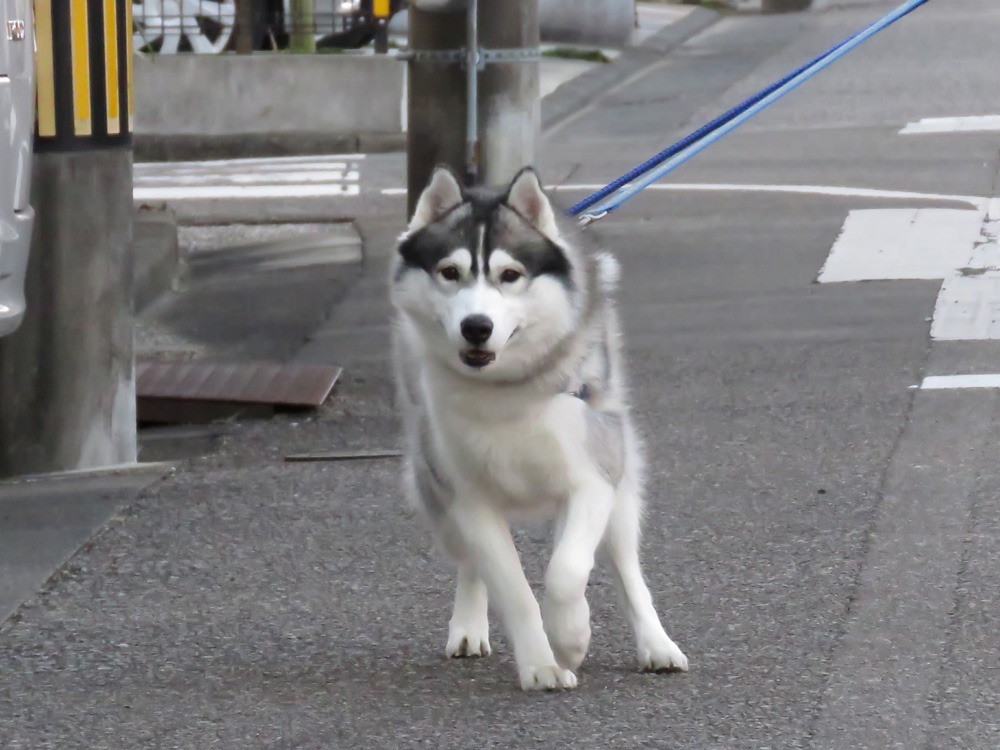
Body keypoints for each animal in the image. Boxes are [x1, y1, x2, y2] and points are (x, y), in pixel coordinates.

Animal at [390, 166, 688, 692]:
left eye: (510, 275)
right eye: (449, 272)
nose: (476, 326)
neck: (507, 390)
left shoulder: (591, 479)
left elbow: (566, 571)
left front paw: (570, 639)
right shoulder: (470, 500)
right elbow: (512, 588)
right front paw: (542, 664)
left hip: (619, 478)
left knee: (627, 568)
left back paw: (656, 645)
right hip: (434, 488)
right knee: (468, 562)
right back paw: (468, 626)